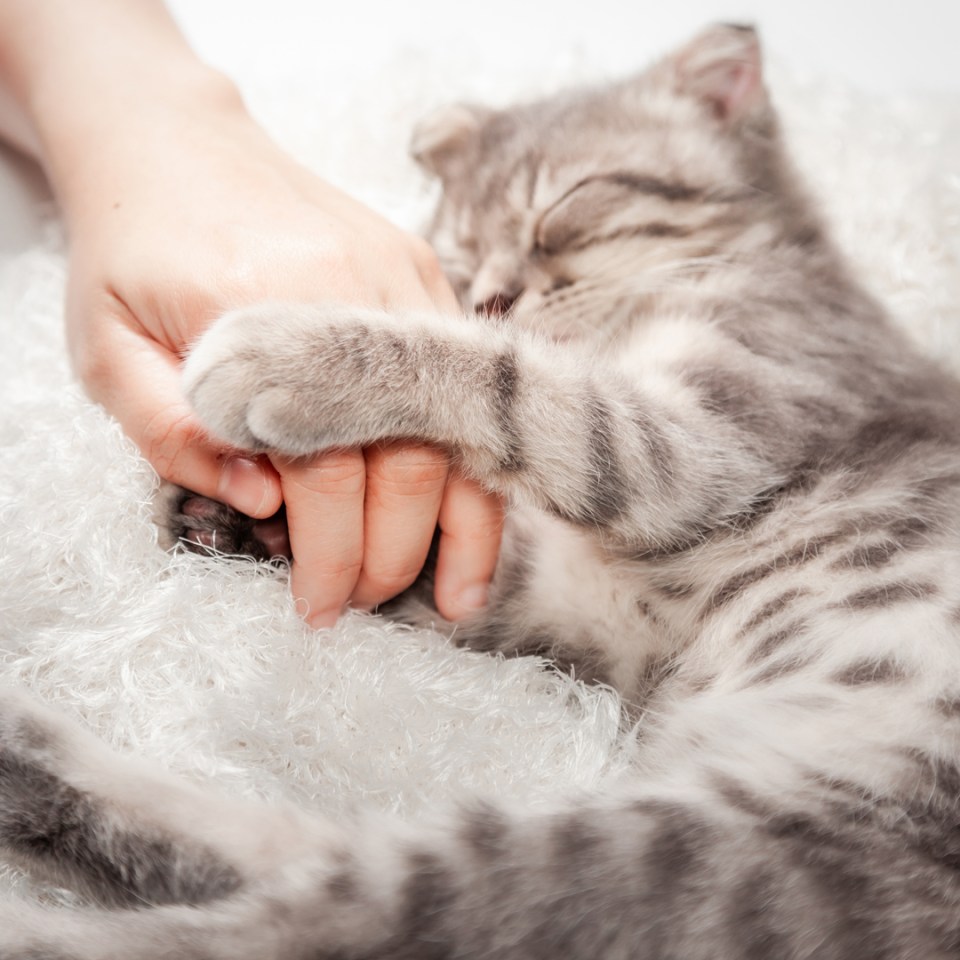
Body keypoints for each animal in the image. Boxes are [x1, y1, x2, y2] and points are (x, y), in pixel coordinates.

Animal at [1, 24, 960, 960]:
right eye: (459, 256)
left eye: (562, 208)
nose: (495, 294)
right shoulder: (608, 608)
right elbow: (471, 555)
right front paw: (245, 518)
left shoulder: (706, 442)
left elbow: (516, 382)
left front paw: (292, 355)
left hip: (691, 864)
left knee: (321, 921)